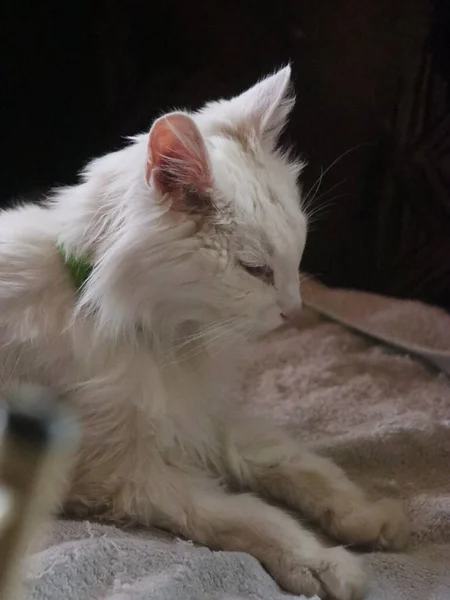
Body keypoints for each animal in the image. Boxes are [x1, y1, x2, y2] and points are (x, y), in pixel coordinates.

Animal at [0, 67, 408, 600]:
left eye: (296, 258)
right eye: (256, 271)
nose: (295, 311)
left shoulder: (208, 420)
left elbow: (298, 464)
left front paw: (365, 517)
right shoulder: (126, 475)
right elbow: (253, 515)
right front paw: (321, 562)